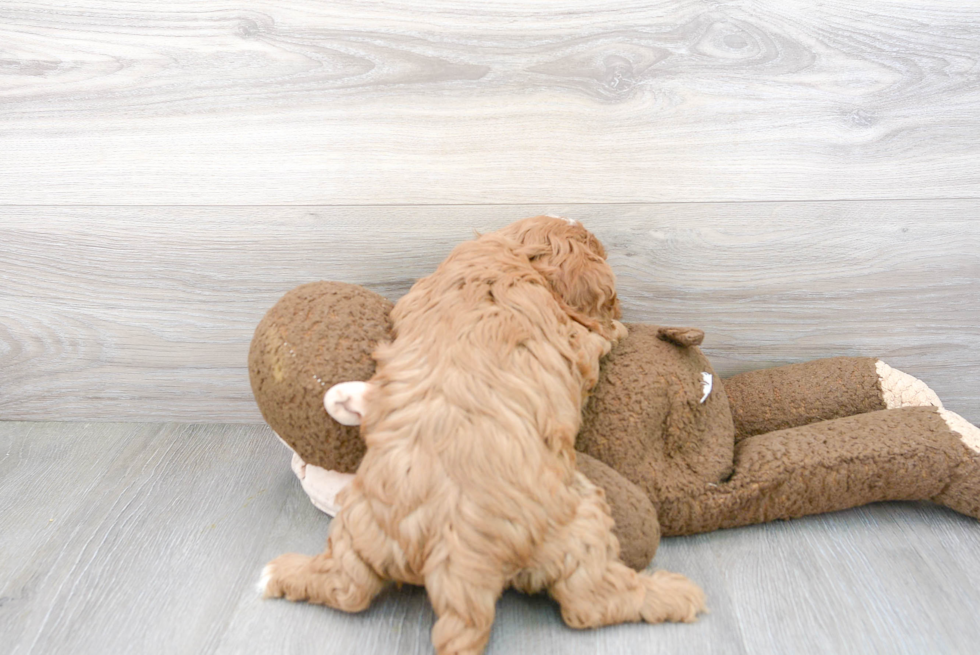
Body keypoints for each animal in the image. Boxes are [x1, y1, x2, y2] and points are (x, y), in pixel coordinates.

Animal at [260, 217, 704, 655]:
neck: (509, 257)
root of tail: (457, 560)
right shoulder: (578, 339)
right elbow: (600, 334)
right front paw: (619, 325)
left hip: (361, 529)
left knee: (345, 588)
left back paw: (277, 572)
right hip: (582, 521)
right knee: (590, 603)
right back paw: (675, 593)